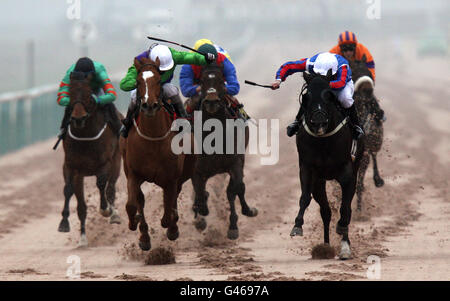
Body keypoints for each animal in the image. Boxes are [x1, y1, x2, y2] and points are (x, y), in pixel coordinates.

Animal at [59, 71, 124, 246]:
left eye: (89, 95)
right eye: (71, 93)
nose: (78, 118)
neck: (85, 136)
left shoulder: (105, 163)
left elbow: (102, 185)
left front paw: (105, 209)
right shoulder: (71, 167)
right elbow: (68, 190)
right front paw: (64, 224)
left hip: (117, 162)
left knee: (111, 188)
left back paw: (114, 214)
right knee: (82, 205)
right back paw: (82, 238)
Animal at [119, 56, 195, 251]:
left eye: (159, 81)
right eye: (138, 82)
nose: (149, 106)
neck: (153, 138)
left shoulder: (171, 177)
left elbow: (168, 211)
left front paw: (171, 227)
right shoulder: (133, 174)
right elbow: (132, 205)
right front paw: (135, 224)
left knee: (172, 200)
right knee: (141, 200)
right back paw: (145, 236)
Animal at [192, 62, 258, 239]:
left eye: (222, 81)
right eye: (201, 82)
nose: (212, 102)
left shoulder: (235, 163)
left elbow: (236, 189)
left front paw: (235, 224)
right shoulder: (197, 170)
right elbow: (200, 194)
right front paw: (200, 216)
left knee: (235, 189)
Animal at [290, 69, 364, 258]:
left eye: (329, 95)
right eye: (306, 96)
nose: (318, 123)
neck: (323, 141)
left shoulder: (347, 172)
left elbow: (345, 208)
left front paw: (343, 236)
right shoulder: (307, 169)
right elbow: (304, 198)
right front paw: (297, 226)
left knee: (346, 209)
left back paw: (344, 245)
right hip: (319, 182)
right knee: (326, 211)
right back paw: (325, 246)